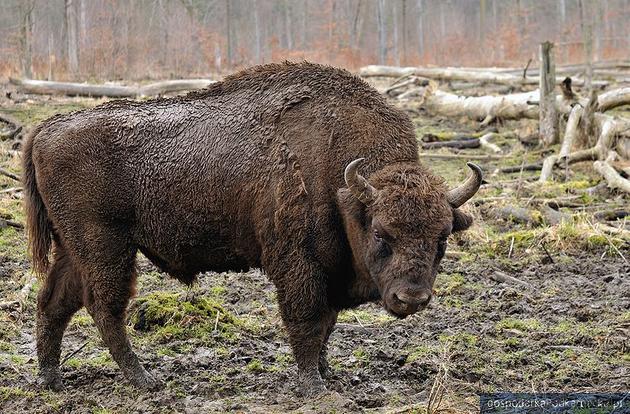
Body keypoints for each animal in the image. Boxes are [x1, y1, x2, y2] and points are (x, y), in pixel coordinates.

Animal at [22, 61, 482, 394]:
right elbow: (308, 320)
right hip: (106, 246)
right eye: (382, 234)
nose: (412, 298)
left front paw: (327, 373)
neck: (343, 186)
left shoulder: (329, 270)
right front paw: (314, 386)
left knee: (54, 302)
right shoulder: (298, 264)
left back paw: (52, 380)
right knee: (103, 307)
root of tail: (46, 127)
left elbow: (327, 324)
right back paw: (144, 379)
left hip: (74, 248)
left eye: (442, 238)